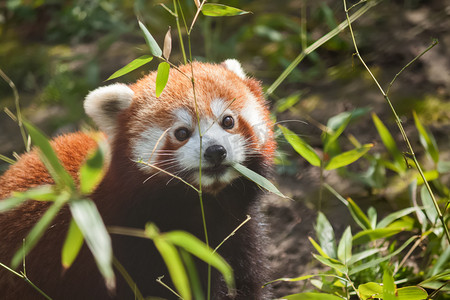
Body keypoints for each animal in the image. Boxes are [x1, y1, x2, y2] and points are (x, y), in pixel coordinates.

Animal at [0, 59, 274, 298]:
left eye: (228, 121)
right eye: (182, 133)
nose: (215, 151)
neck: (205, 208)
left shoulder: (242, 234)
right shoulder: (128, 248)